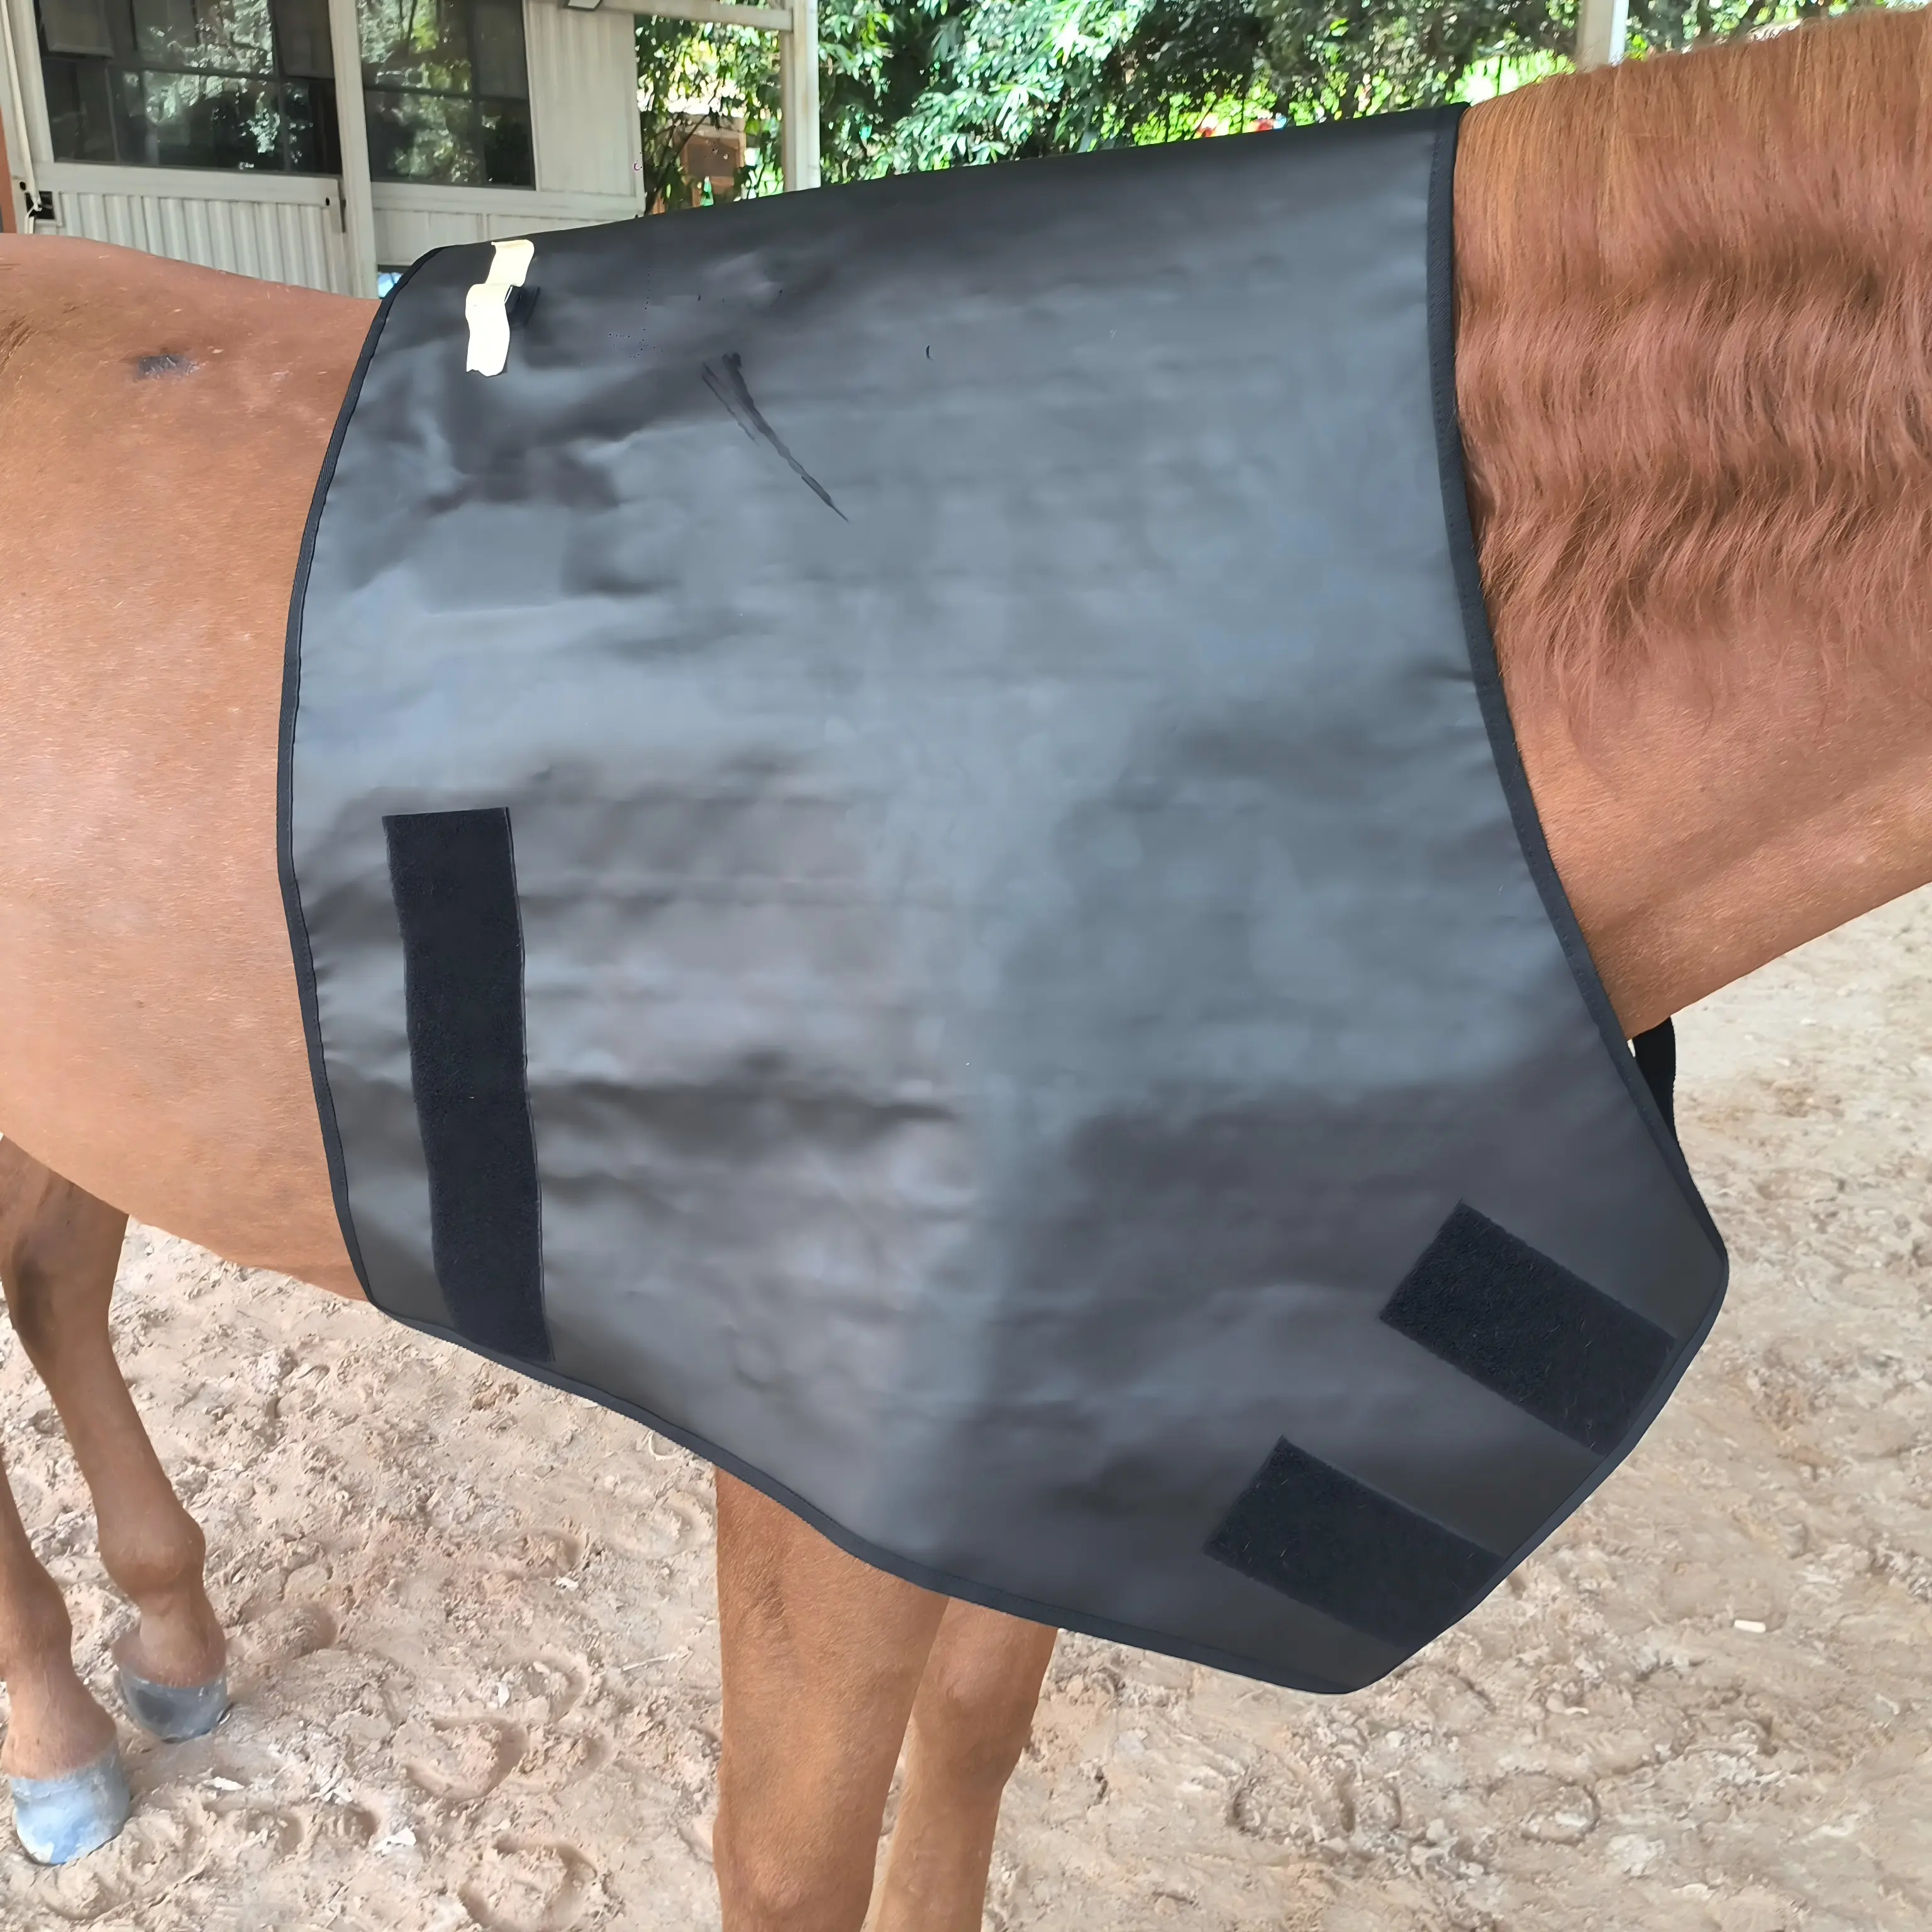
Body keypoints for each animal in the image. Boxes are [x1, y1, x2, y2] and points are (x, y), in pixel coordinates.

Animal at [2, 6, 1929, 1923]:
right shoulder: (829, 1469)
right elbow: (792, 1853)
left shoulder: (1056, 1438)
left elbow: (974, 1739)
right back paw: (62, 1742)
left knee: (54, 1281)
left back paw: (168, 1632)